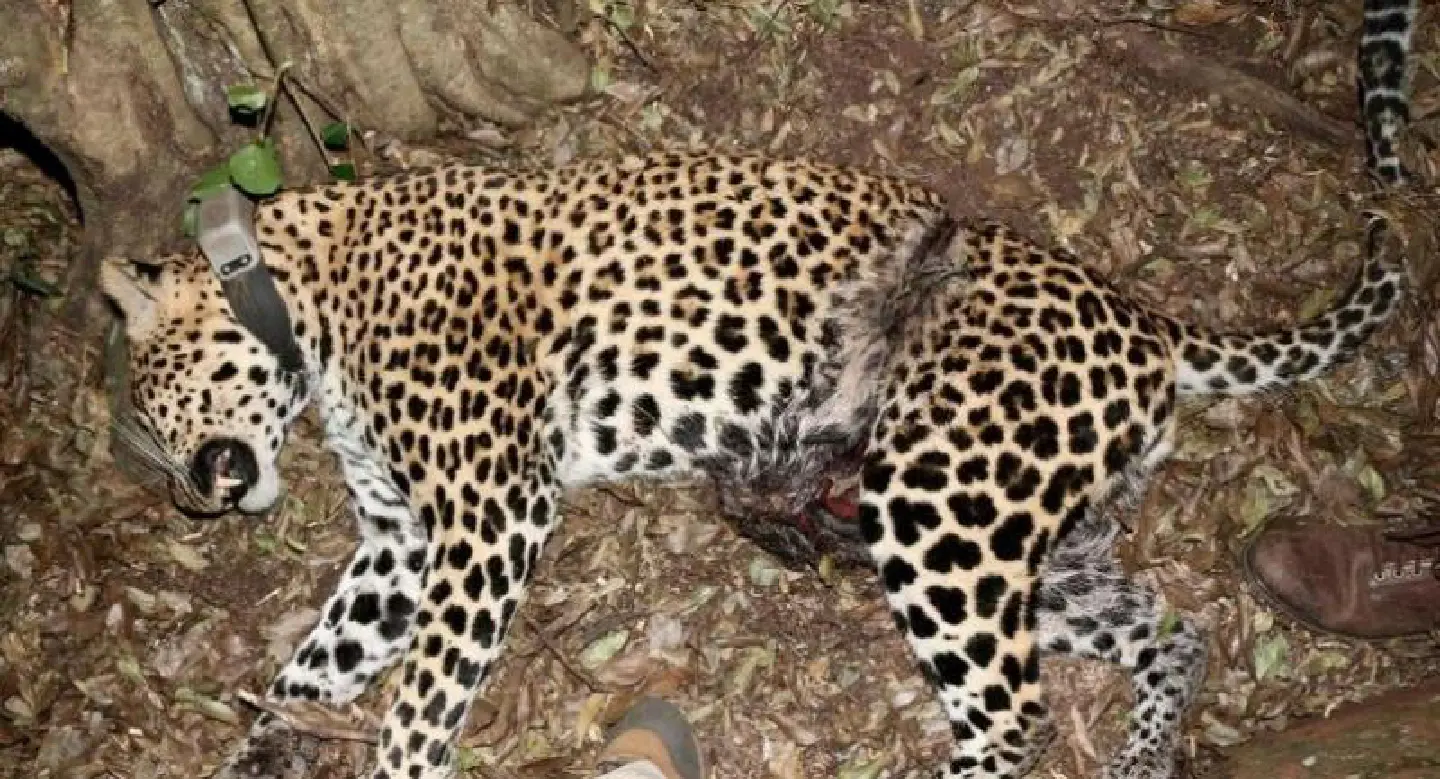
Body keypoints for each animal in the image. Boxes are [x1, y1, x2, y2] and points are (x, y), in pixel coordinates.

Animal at [97, 5, 1415, 778]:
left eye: (157, 418)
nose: (195, 502)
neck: (306, 295)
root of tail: (1143, 314)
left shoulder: (485, 513)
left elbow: (419, 698)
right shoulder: (404, 538)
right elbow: (311, 665)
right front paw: (266, 744)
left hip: (942, 501)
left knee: (1015, 716)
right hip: (1039, 539)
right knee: (1174, 628)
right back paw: (1146, 747)